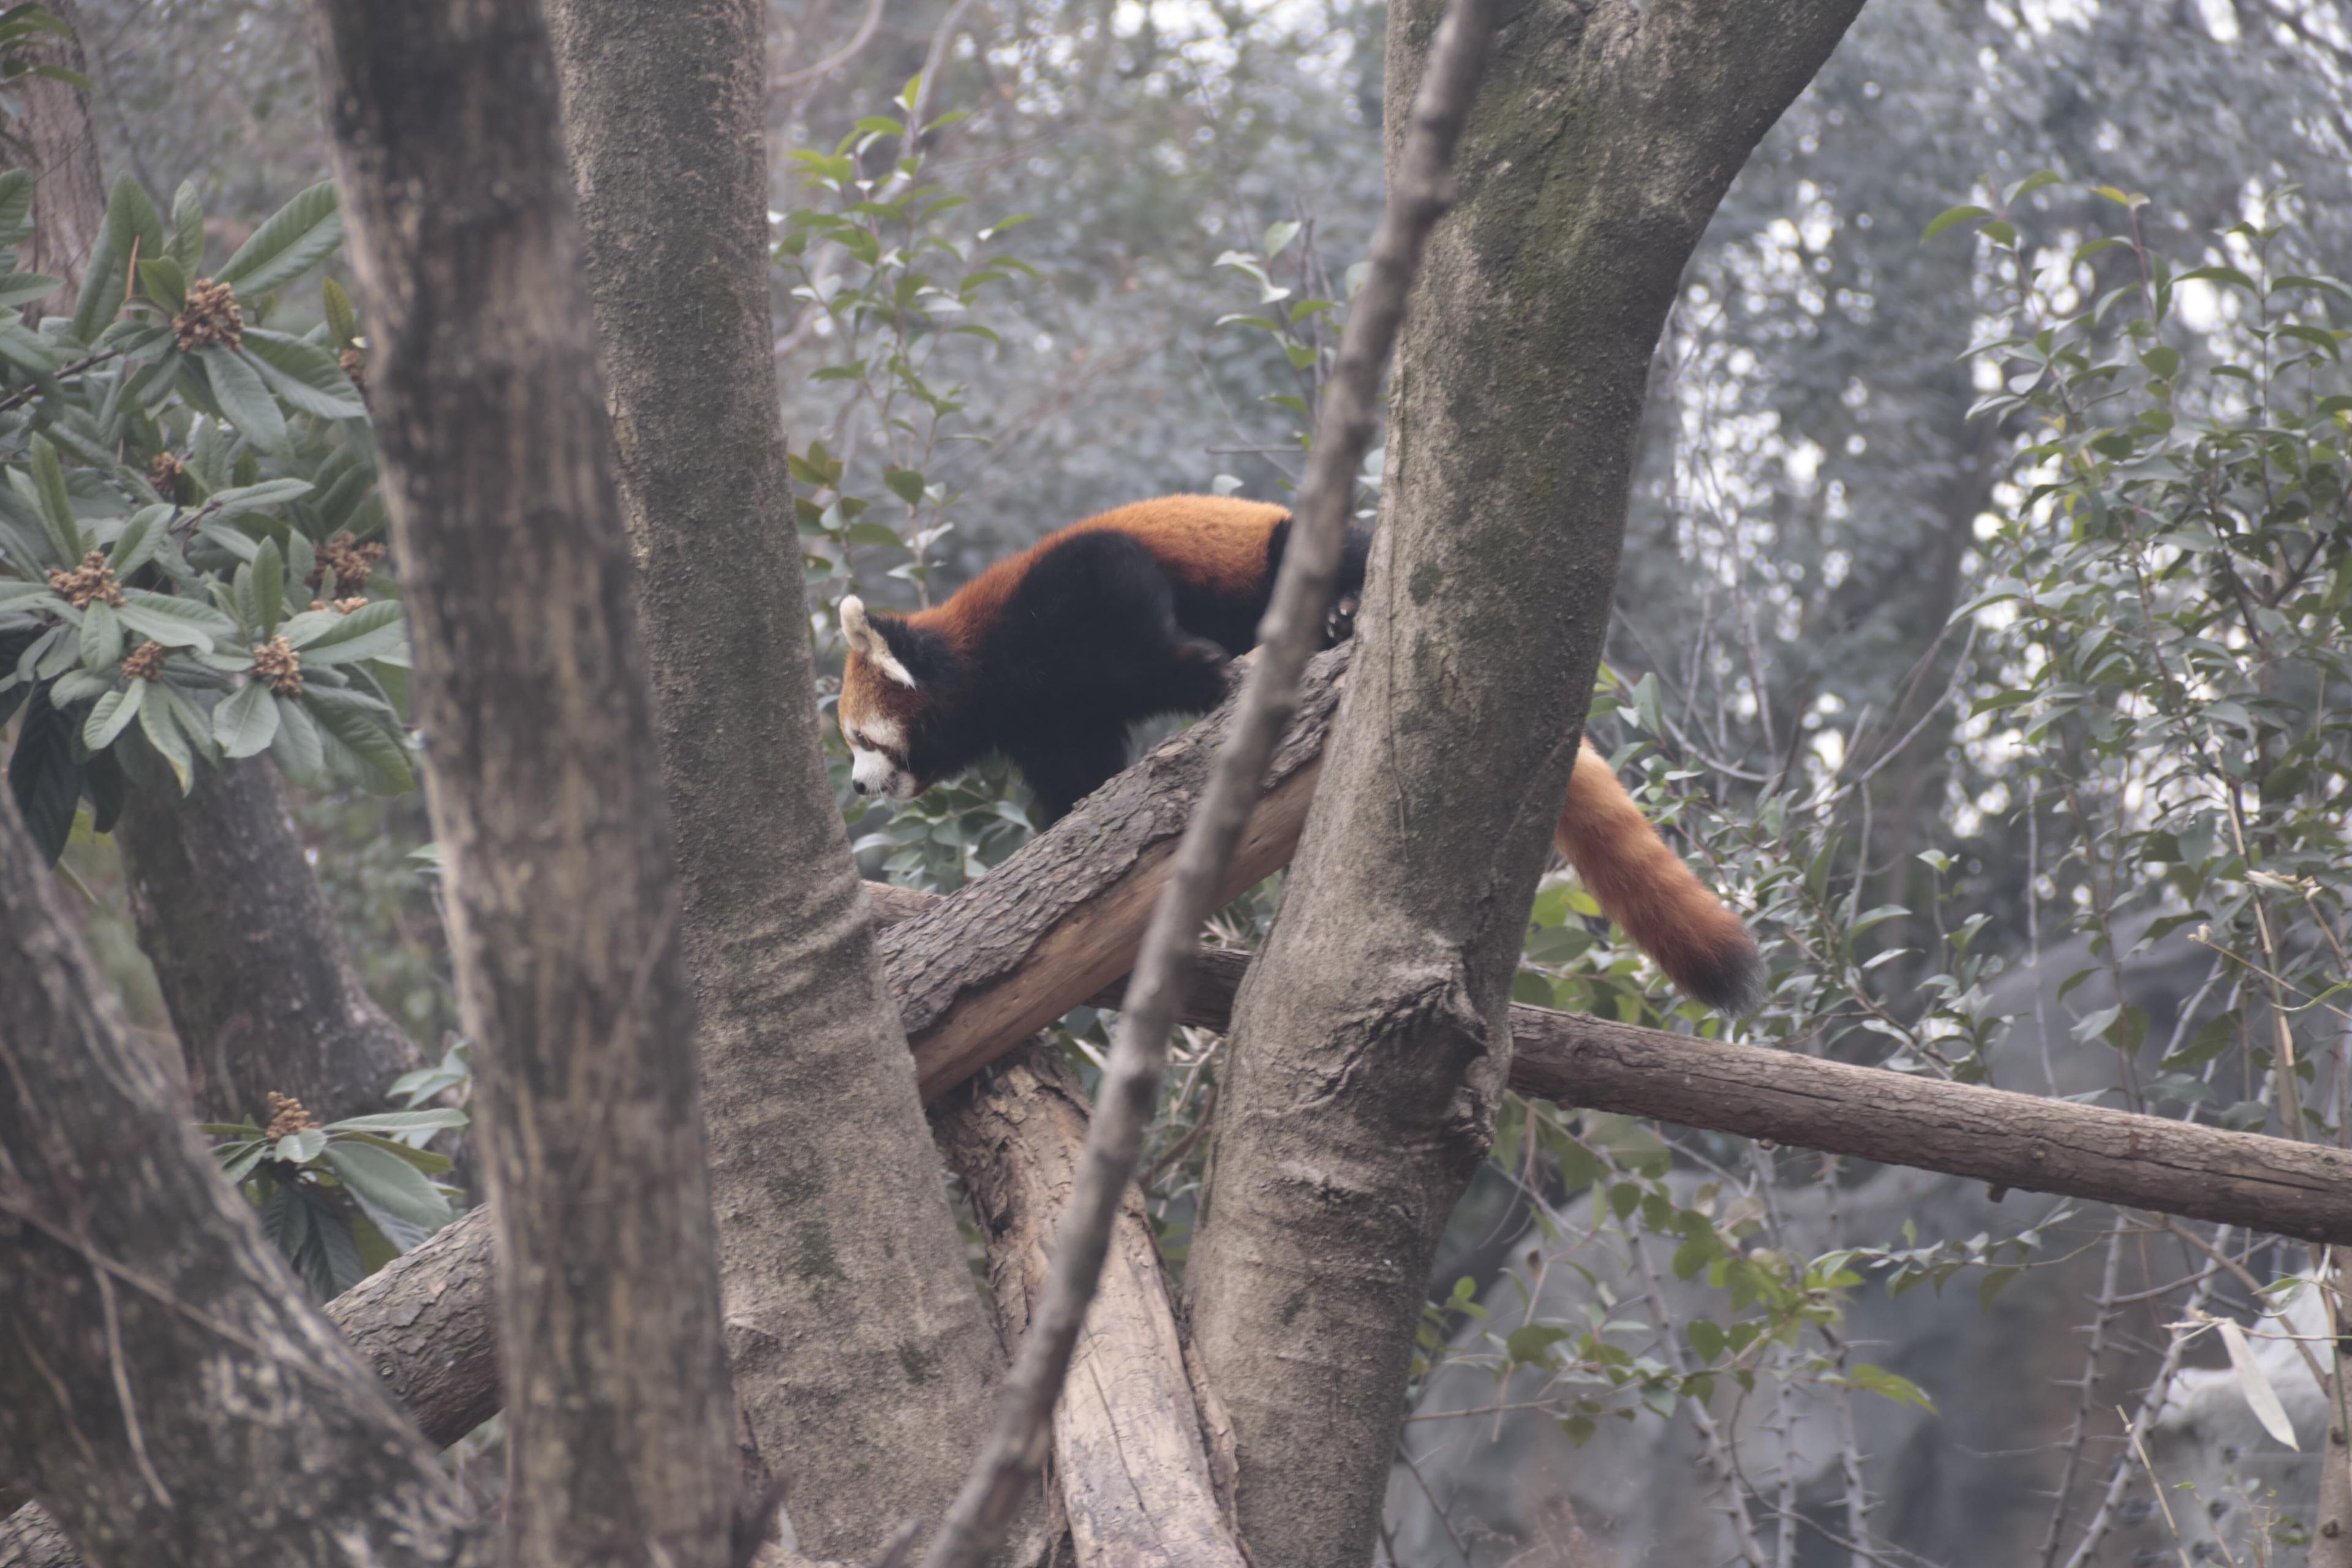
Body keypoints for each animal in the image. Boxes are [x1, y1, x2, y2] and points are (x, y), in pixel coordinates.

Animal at [842, 500, 1768, 1020]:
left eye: (857, 739)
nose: (853, 786)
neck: (992, 661)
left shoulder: (1085, 586)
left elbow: (1147, 635)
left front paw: (1213, 674)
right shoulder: (1049, 718)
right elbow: (1080, 774)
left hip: (1300, 547)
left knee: (1330, 554)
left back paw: (1341, 613)